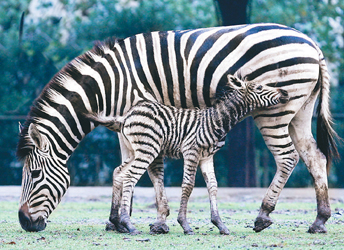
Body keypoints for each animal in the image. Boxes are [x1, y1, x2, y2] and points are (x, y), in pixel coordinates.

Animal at [86, 74, 288, 234]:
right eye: (260, 87)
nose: (285, 93)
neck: (217, 120)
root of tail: (126, 116)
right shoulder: (191, 151)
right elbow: (188, 185)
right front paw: (185, 225)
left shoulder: (207, 156)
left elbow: (213, 186)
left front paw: (219, 224)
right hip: (147, 149)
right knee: (129, 177)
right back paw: (128, 224)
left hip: (134, 150)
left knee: (119, 173)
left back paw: (117, 221)